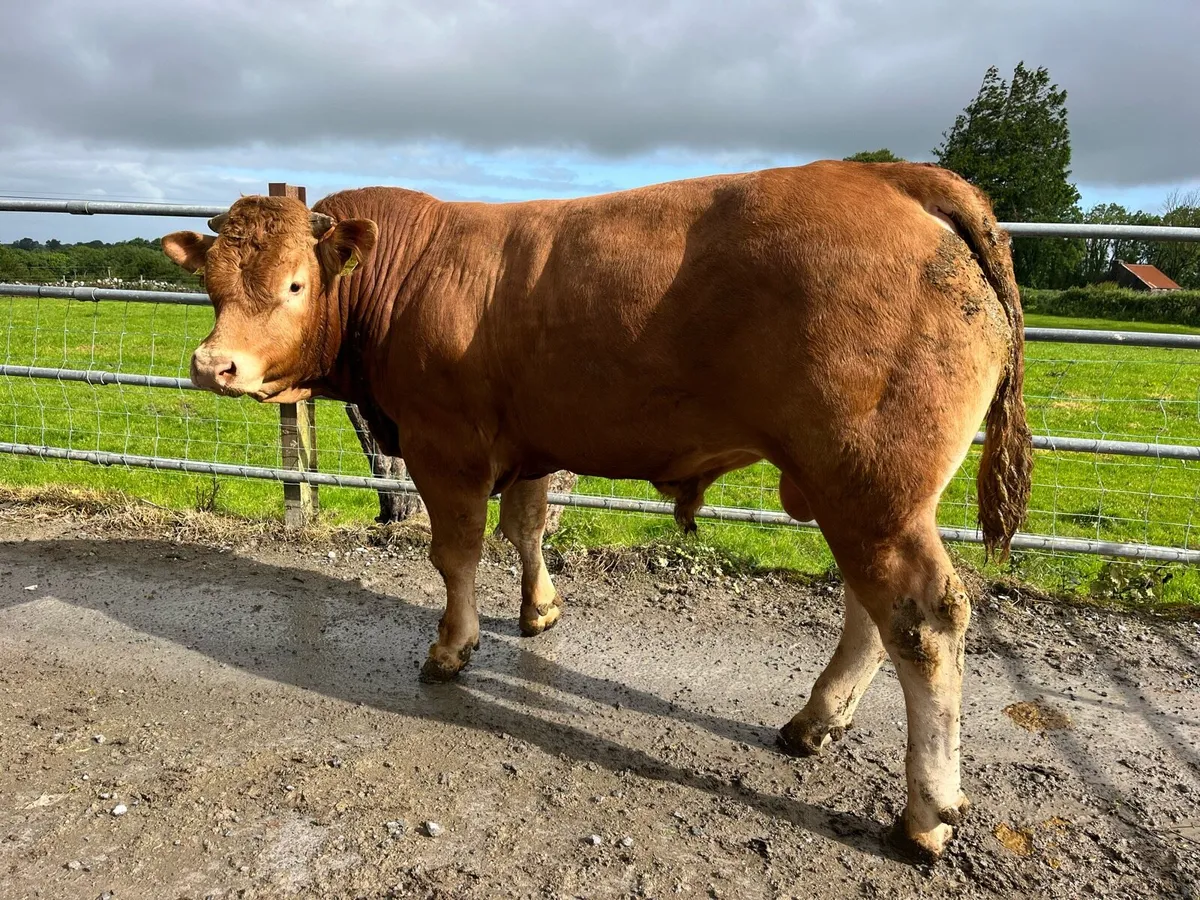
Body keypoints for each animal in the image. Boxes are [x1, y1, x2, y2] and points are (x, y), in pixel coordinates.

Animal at [162, 159, 1033, 860]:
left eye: (295, 284)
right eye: (210, 285)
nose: (213, 364)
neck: (406, 275)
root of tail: (892, 175)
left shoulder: (447, 445)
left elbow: (457, 552)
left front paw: (452, 647)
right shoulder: (531, 438)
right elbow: (525, 526)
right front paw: (539, 610)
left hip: (871, 483)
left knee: (923, 620)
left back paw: (925, 814)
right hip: (857, 487)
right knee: (868, 608)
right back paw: (816, 721)